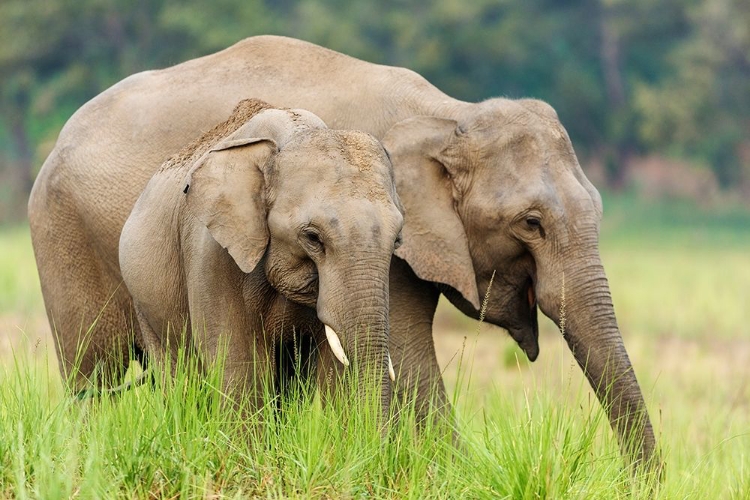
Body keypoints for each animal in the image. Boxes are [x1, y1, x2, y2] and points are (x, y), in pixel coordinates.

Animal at [29, 36, 660, 468]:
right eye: (531, 223)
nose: (638, 481)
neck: (447, 115)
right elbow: (407, 354)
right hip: (63, 236)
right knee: (94, 376)